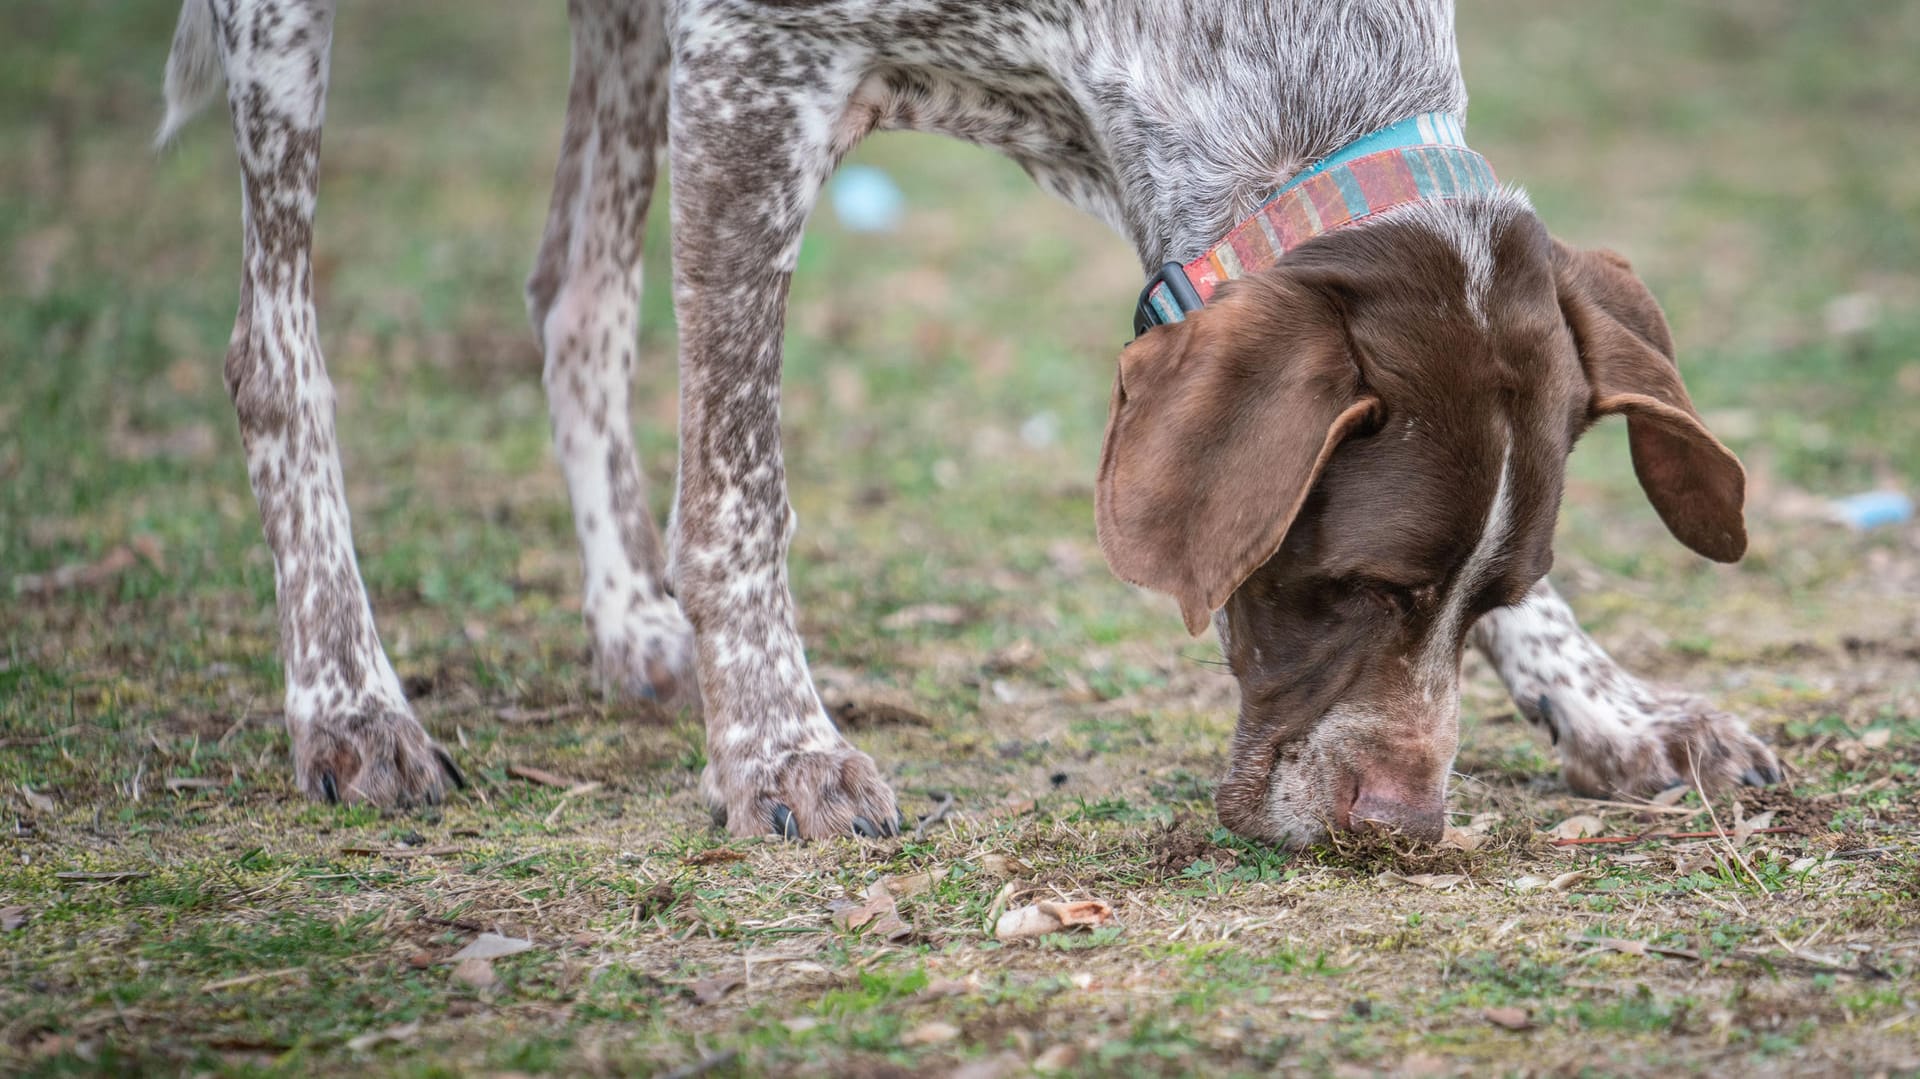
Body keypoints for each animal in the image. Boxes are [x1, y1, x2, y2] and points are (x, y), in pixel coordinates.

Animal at [153, 0, 1781, 840]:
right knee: (274, 343)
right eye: (1358, 585)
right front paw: (779, 749)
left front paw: (1614, 703)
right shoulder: (750, 70)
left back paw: (631, 626)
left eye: (1485, 593)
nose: (1402, 819)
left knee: (573, 293)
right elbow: (738, 486)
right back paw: (351, 701)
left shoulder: (1130, 154)